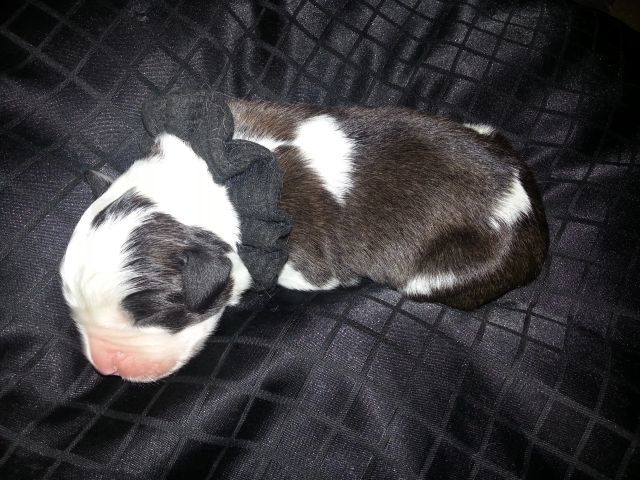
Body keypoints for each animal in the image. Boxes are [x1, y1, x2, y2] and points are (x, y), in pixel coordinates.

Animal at [60, 98, 548, 382]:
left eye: (156, 315)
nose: (103, 367)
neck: (214, 185)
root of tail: (532, 216)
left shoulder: (308, 264)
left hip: (448, 270)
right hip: (484, 130)